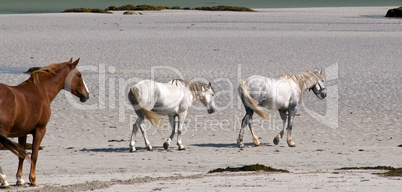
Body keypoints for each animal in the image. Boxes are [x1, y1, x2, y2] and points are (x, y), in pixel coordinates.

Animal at [0, 58, 88, 186]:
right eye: (79, 74)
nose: (87, 95)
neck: (41, 91)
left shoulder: (22, 133)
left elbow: (21, 154)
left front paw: (20, 179)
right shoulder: (40, 130)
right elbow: (34, 155)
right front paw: (33, 179)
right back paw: (4, 179)